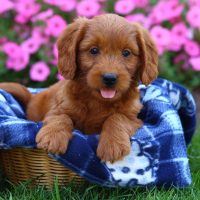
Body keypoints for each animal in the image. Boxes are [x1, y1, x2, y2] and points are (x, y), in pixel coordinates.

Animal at [0, 14, 159, 164]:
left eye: (126, 53)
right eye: (94, 50)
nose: (109, 78)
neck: (98, 101)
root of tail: (32, 97)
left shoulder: (134, 119)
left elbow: (117, 117)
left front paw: (112, 145)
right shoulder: (57, 109)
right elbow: (61, 117)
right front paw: (52, 137)